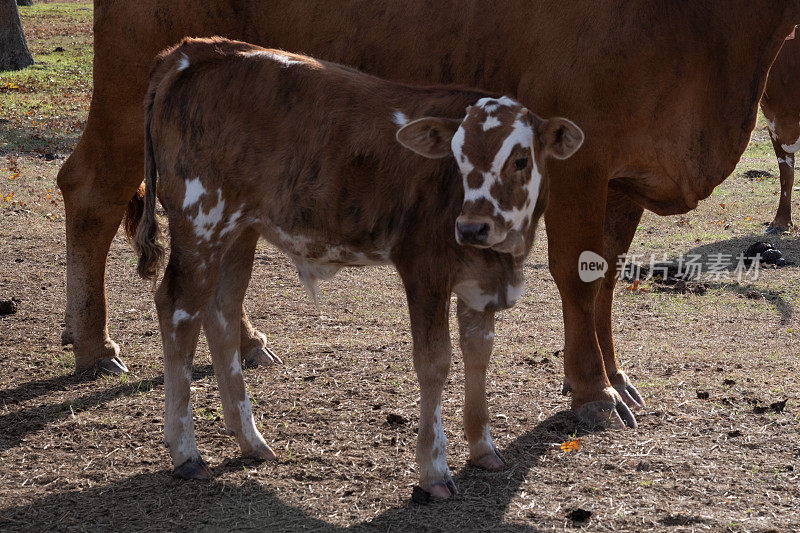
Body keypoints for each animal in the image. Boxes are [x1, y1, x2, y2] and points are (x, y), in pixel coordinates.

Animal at [57, 1, 800, 428]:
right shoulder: (580, 160)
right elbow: (578, 277)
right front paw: (594, 392)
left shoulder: (624, 176)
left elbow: (606, 280)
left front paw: (614, 377)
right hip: (128, 84)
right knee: (89, 190)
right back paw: (93, 344)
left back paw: (240, 340)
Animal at [136, 36, 588, 494]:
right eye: (457, 159)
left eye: (520, 160)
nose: (472, 227)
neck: (502, 257)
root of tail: (196, 49)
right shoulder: (424, 269)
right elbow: (434, 361)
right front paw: (433, 469)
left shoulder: (480, 283)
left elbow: (478, 353)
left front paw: (483, 448)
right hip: (200, 222)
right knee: (178, 311)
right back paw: (186, 451)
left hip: (239, 232)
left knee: (223, 313)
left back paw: (251, 440)